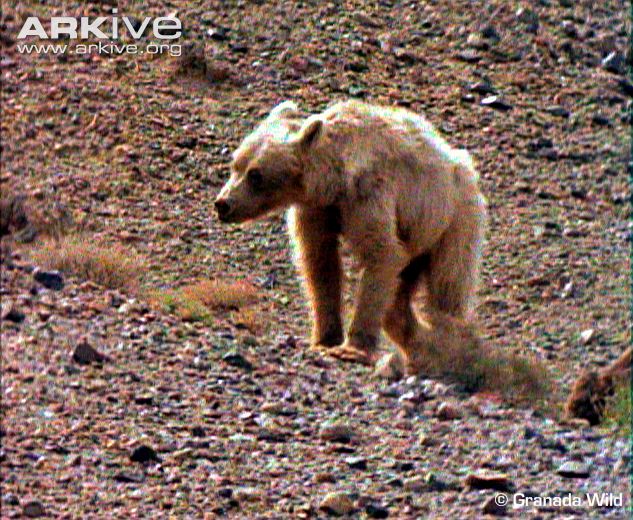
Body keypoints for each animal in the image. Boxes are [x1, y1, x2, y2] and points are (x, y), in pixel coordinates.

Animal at [215, 99, 486, 374]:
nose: (223, 204)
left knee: (448, 285)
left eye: (255, 174)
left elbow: (382, 253)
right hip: (417, 237)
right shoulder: (317, 210)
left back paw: (448, 347)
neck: (334, 180)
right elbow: (320, 263)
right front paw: (325, 338)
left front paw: (351, 349)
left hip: (451, 220)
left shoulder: (368, 194)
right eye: (235, 163)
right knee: (399, 298)